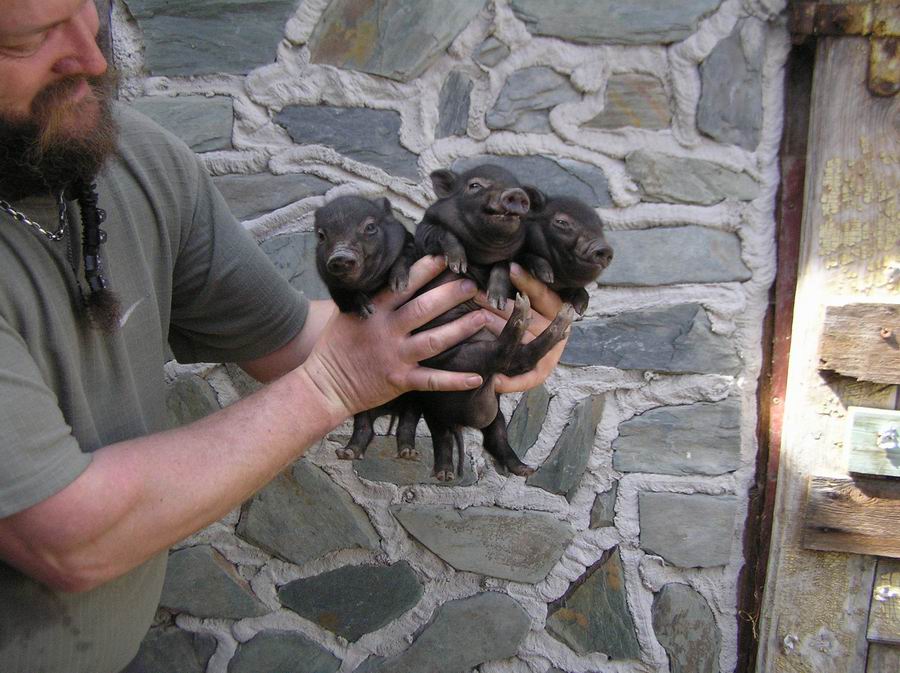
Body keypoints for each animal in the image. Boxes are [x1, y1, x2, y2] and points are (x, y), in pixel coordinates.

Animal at [313, 195, 420, 461]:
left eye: (370, 227)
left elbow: (405, 258)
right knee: (364, 427)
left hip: (415, 398)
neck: (370, 284)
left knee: (408, 423)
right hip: (364, 407)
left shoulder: (409, 244)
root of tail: (389, 408)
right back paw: (346, 453)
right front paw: (366, 311)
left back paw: (408, 454)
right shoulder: (334, 289)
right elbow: (344, 296)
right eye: (321, 235)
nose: (340, 256)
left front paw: (398, 286)